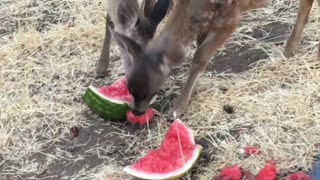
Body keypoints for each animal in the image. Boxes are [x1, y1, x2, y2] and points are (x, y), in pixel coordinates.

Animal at [98, 0, 320, 119]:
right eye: (129, 86)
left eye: (152, 90)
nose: (136, 112)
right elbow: (199, 46)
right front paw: (193, 90)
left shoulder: (230, 19)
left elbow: (200, 57)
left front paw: (178, 108)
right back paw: (289, 49)